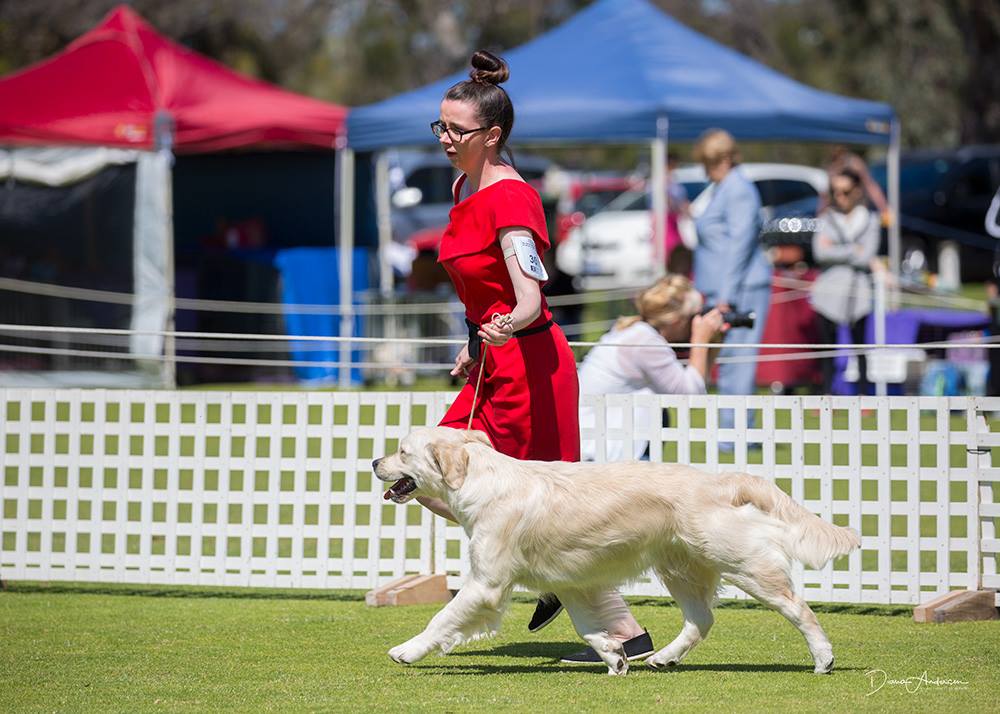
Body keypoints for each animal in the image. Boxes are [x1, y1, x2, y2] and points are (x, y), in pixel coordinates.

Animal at [374, 426, 860, 676]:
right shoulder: (569, 581)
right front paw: (614, 656)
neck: (481, 479)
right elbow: (589, 626)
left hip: (744, 565)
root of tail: (721, 480)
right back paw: (663, 656)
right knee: (701, 619)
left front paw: (406, 650)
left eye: (402, 451)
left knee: (799, 607)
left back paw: (824, 658)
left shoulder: (486, 584)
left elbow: (442, 618)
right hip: (680, 569)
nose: (374, 462)